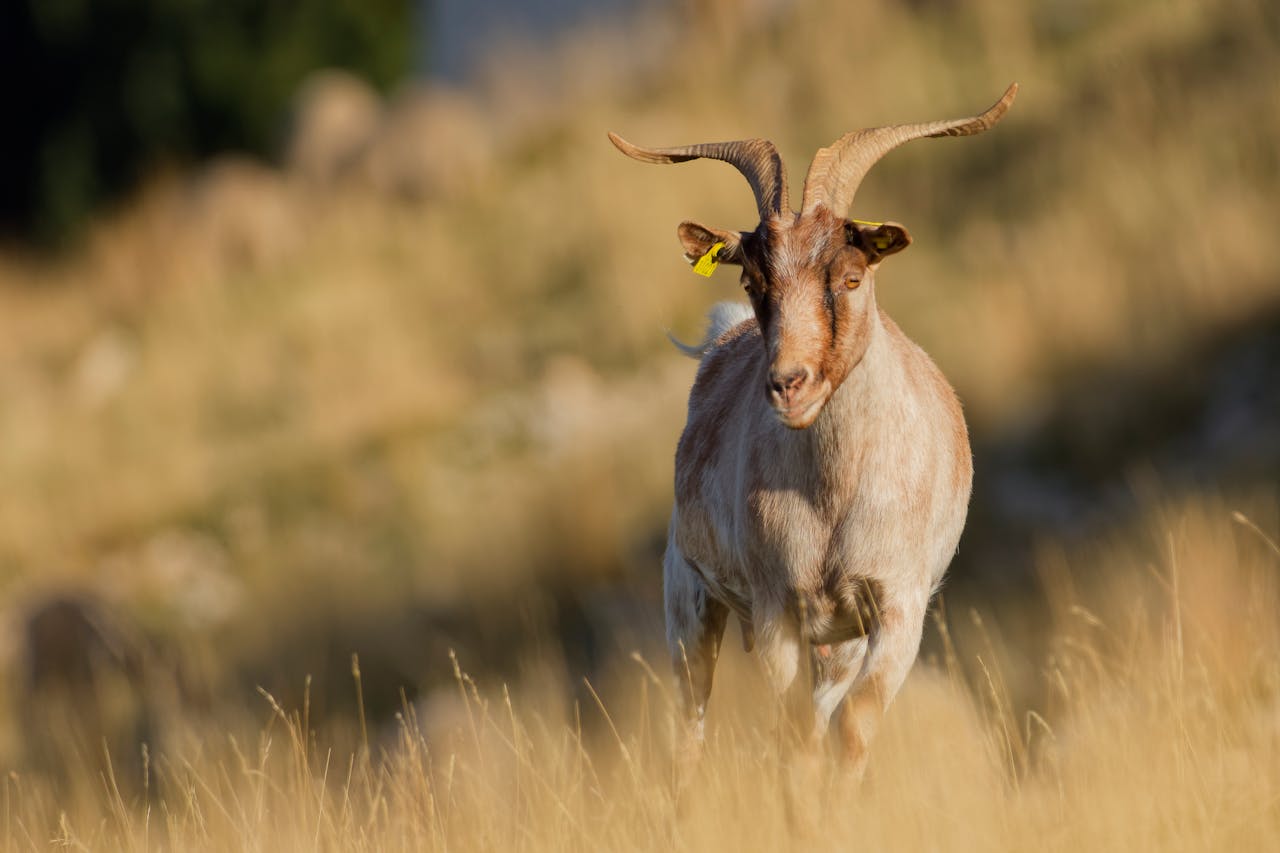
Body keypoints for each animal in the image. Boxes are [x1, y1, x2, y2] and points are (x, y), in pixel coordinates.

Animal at [610, 84, 1016, 781]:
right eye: (754, 279)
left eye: (850, 277)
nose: (788, 384)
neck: (833, 497)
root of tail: (722, 333)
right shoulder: (779, 609)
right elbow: (792, 737)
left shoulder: (895, 608)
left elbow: (850, 728)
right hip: (689, 602)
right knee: (691, 731)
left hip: (835, 642)